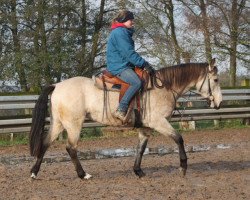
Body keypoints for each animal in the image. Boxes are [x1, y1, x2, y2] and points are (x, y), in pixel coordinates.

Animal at [29, 58, 223, 180]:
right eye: (215, 79)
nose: (220, 102)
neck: (164, 87)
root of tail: (57, 85)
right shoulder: (159, 122)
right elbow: (179, 139)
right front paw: (183, 167)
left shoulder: (146, 128)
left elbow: (141, 149)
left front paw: (138, 171)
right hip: (73, 124)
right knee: (71, 148)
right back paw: (83, 174)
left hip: (58, 123)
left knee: (45, 144)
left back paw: (34, 173)